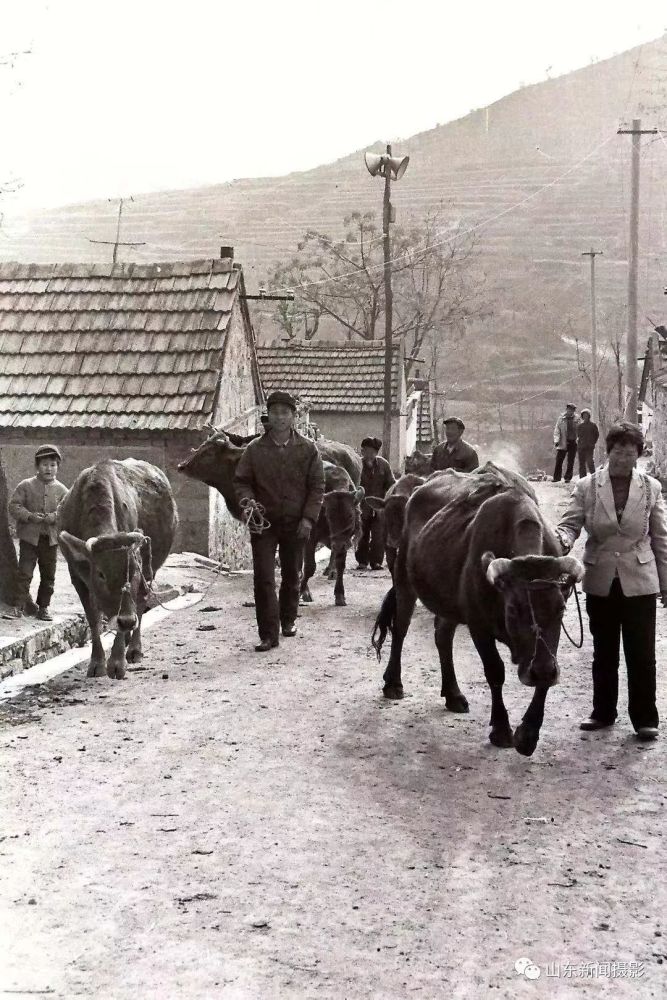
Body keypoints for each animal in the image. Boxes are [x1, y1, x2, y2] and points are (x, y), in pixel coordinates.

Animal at [58, 458, 177, 680]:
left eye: (133, 572)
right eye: (101, 574)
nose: (128, 621)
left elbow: (130, 607)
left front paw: (116, 663)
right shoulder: (76, 576)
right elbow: (93, 618)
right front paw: (96, 663)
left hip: (152, 570)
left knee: (141, 602)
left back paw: (134, 649)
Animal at [374, 464, 580, 752]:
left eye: (560, 608)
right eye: (513, 609)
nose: (538, 670)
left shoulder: (548, 645)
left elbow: (547, 672)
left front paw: (528, 733)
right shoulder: (478, 625)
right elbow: (495, 671)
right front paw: (501, 729)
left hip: (447, 601)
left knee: (442, 636)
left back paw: (453, 694)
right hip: (404, 579)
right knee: (400, 628)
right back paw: (393, 683)